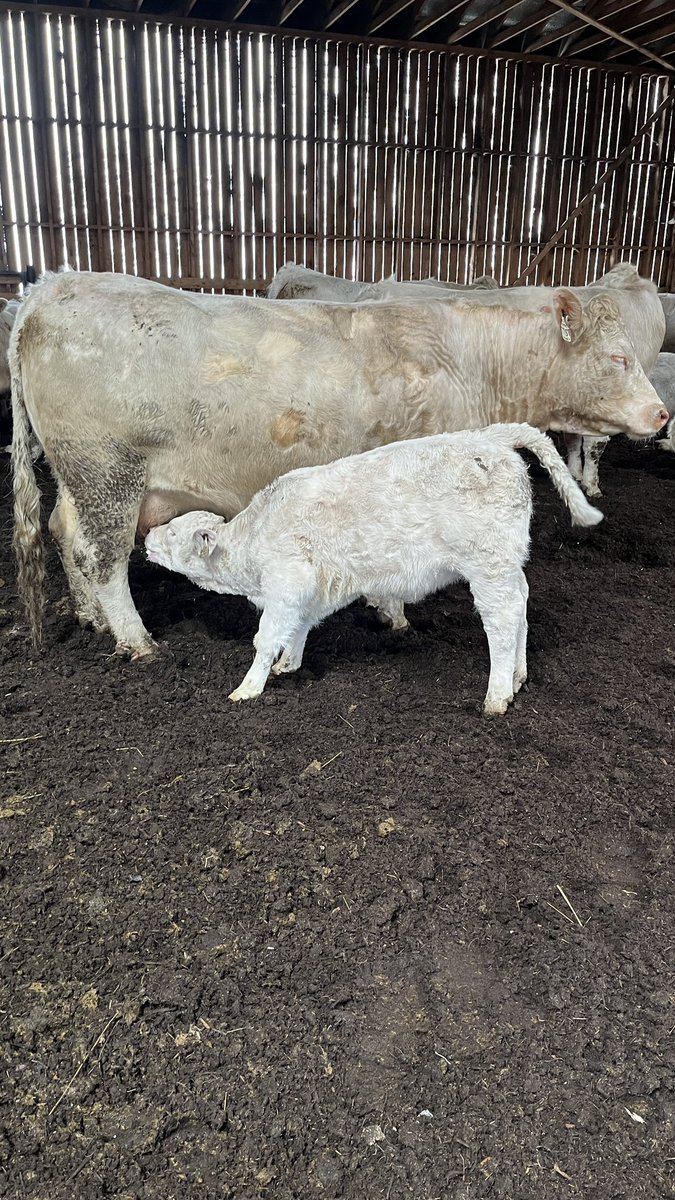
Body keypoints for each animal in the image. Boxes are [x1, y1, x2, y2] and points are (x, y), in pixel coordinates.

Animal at [11, 269, 667, 661]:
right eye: (618, 357)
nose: (661, 414)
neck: (470, 360)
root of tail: (55, 283)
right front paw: (394, 613)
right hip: (108, 472)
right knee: (101, 556)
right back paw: (136, 639)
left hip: (79, 477)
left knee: (65, 535)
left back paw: (92, 619)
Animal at [145, 424, 602, 715]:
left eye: (174, 532)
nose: (147, 536)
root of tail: (490, 437)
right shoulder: (314, 589)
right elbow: (298, 628)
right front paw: (288, 666)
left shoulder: (288, 583)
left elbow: (266, 637)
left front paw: (247, 689)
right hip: (507, 561)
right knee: (521, 602)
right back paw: (520, 676)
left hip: (486, 563)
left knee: (502, 619)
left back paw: (497, 696)